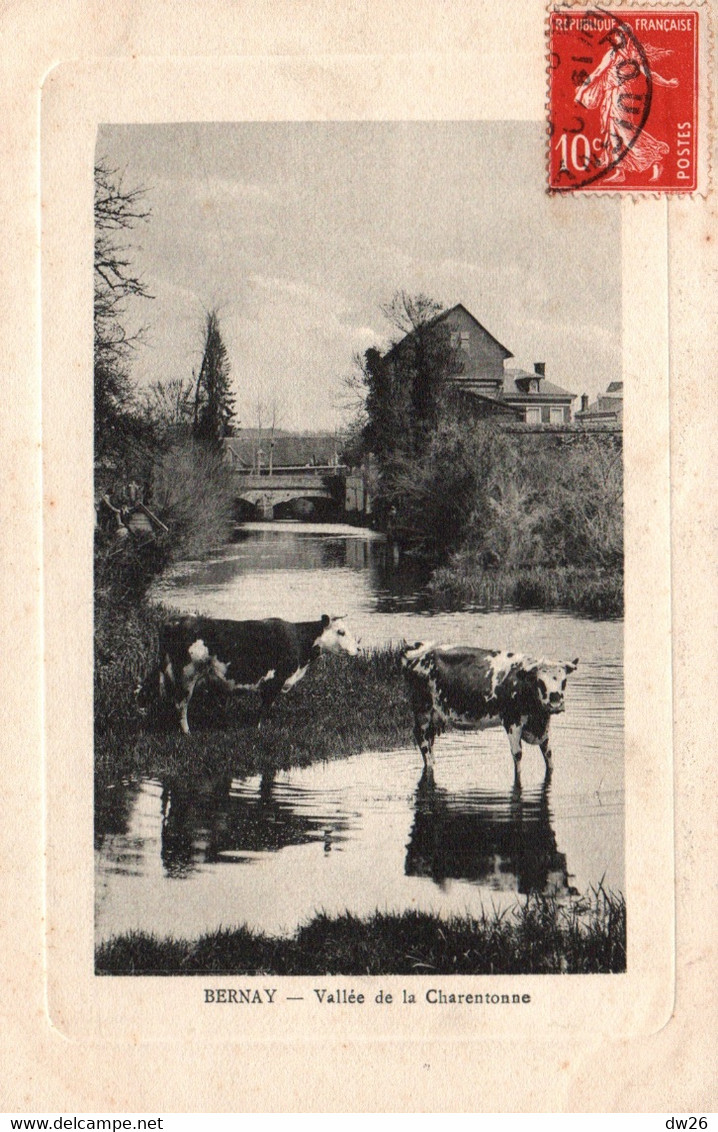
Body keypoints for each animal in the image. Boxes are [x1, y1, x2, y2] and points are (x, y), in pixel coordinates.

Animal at [156, 620, 357, 733]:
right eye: (341, 632)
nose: (358, 648)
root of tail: (174, 623)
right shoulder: (275, 681)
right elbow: (264, 708)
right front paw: (260, 730)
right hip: (187, 675)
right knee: (181, 704)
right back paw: (187, 732)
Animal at [400, 647, 579, 778]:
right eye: (539, 681)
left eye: (564, 681)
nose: (555, 703)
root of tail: (417, 657)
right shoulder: (511, 722)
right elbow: (517, 756)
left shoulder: (542, 728)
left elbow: (548, 755)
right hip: (422, 711)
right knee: (421, 739)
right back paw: (430, 765)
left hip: (433, 717)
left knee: (430, 742)